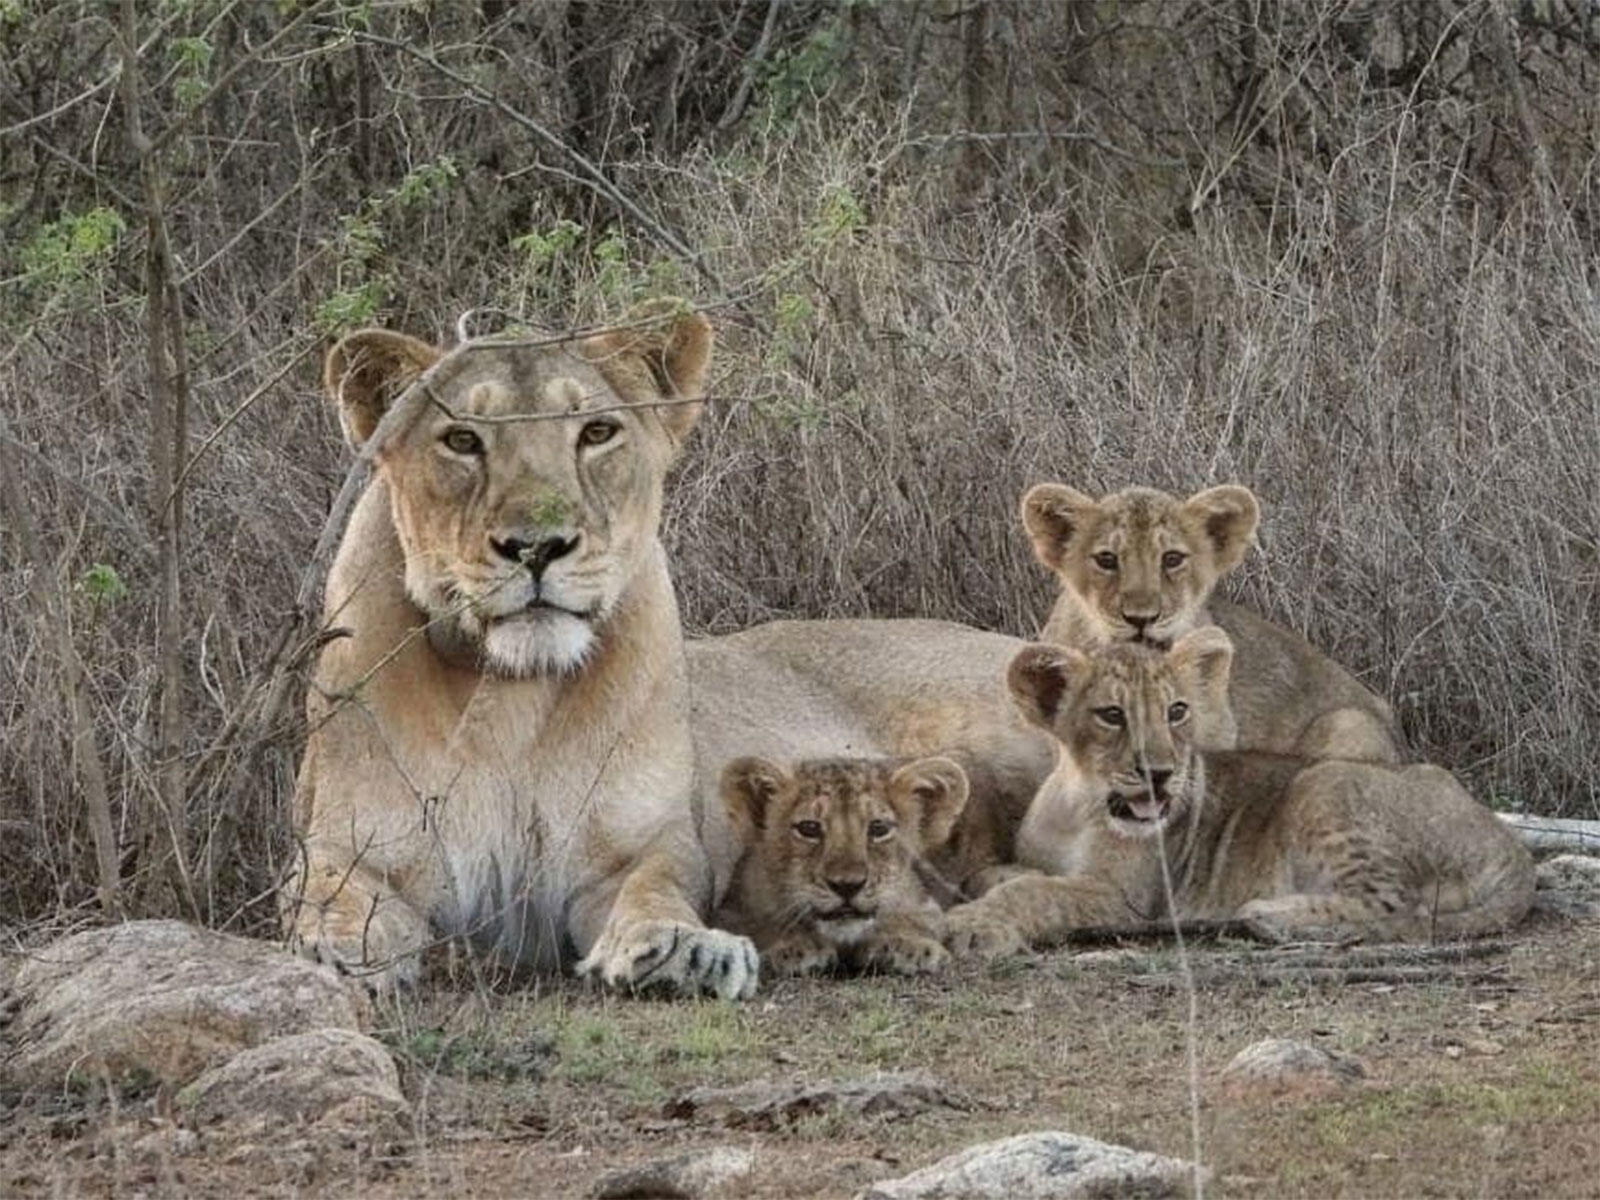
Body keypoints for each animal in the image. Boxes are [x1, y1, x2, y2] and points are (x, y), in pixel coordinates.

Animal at [283, 301, 758, 998]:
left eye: (596, 433)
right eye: (462, 440)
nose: (537, 547)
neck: (512, 692)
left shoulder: (636, 849)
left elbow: (655, 889)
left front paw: (686, 951)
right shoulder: (350, 849)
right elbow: (330, 900)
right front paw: (336, 958)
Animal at [713, 756, 968, 975]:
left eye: (879, 828)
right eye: (809, 828)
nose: (847, 885)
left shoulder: (924, 905)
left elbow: (918, 919)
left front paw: (909, 945)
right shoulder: (732, 911)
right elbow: (760, 925)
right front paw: (795, 947)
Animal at [944, 629, 1534, 958]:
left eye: (1176, 711)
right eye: (1111, 715)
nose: (1160, 773)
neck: (1079, 802)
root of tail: (1511, 847)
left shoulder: (1125, 900)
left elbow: (1035, 893)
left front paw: (974, 926)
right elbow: (1007, 876)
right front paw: (992, 885)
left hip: (1323, 780)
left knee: (1392, 905)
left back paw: (1270, 913)